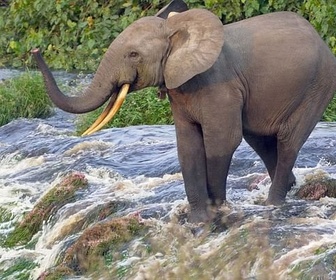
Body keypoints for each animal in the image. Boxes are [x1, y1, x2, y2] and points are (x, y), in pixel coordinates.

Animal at [32, 1, 336, 223]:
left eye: (133, 55)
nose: (35, 49)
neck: (175, 28)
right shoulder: (181, 92)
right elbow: (187, 147)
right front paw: (199, 220)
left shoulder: (219, 85)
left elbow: (221, 142)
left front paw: (216, 212)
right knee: (259, 140)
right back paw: (289, 189)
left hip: (318, 86)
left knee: (287, 141)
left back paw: (273, 204)